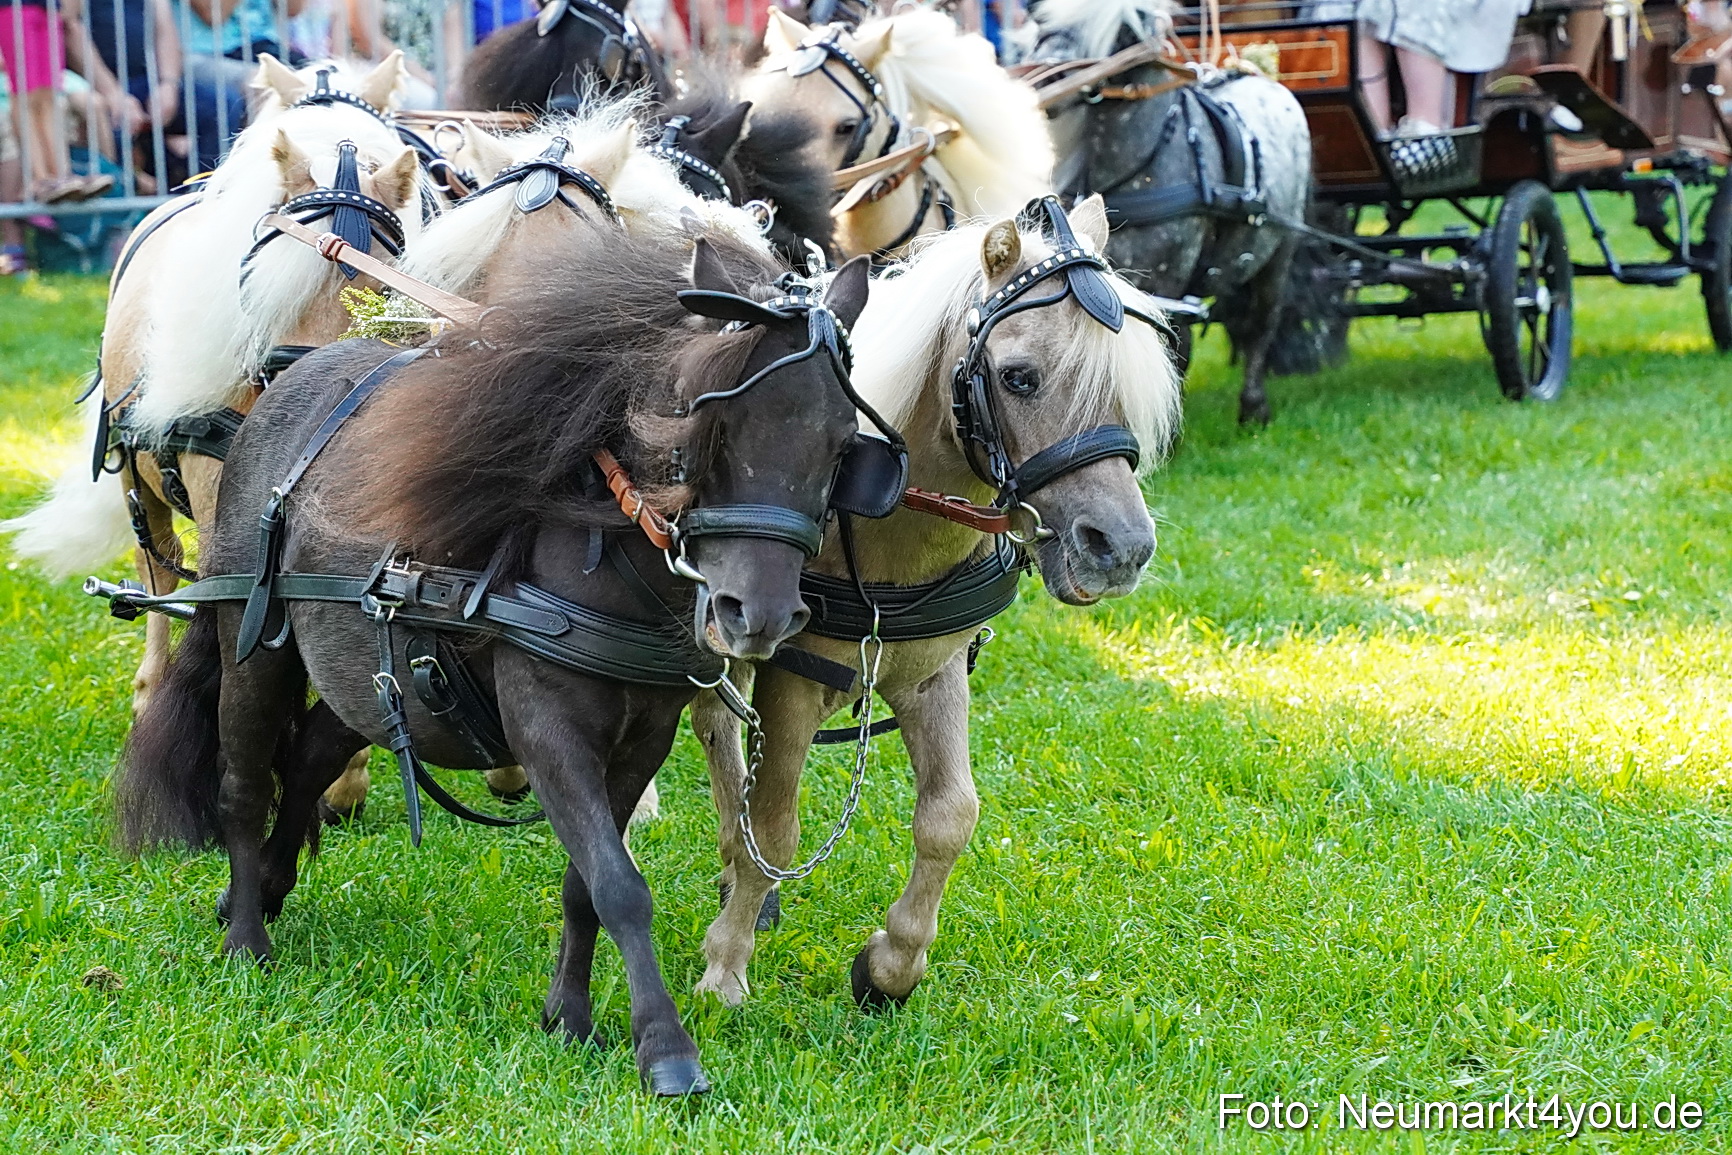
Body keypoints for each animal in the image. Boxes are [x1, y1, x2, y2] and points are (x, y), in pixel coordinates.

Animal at [111, 216, 878, 1097]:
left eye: (842, 446)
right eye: (703, 422)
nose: (761, 613)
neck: (599, 557)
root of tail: (285, 387)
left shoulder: (642, 737)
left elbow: (587, 882)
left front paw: (569, 1016)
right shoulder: (549, 731)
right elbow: (619, 883)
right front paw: (665, 1046)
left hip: (368, 677)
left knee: (308, 757)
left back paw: (269, 883)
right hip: (256, 644)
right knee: (243, 784)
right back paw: (244, 935)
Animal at [690, 195, 1184, 1009]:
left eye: (1124, 375)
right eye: (1019, 378)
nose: (1120, 547)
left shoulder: (932, 672)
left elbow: (951, 815)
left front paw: (892, 964)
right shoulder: (792, 679)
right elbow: (778, 824)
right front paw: (725, 965)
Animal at [1028, 0, 1312, 423]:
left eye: (1120, 35)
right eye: (1040, 24)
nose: (1041, 83)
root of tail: (1259, 75)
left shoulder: (1167, 281)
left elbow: (1171, 353)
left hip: (1280, 252)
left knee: (1262, 321)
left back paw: (1254, 407)